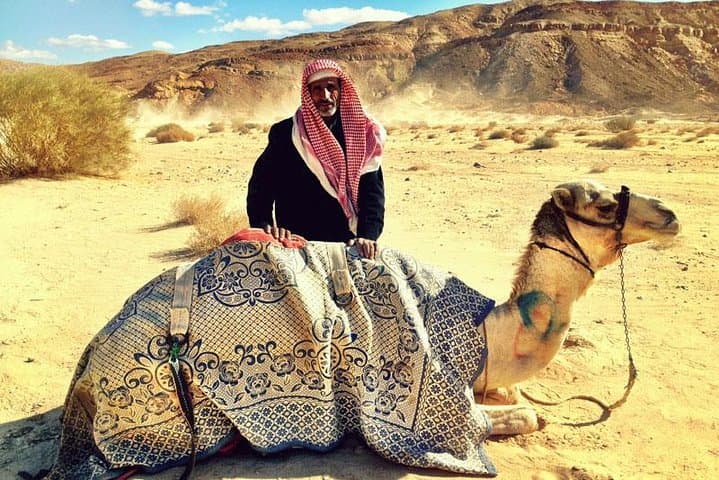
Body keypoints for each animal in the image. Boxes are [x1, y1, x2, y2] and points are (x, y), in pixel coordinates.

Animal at [42, 180, 679, 479]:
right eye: (601, 206)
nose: (671, 216)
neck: (490, 332)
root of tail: (86, 370)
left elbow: (518, 397)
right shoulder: (444, 401)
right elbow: (525, 417)